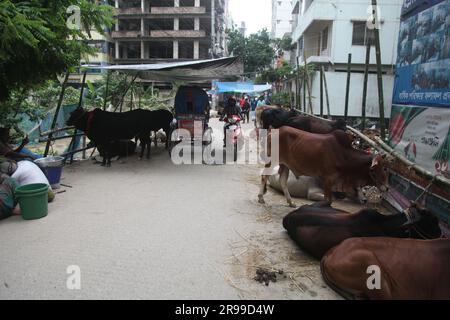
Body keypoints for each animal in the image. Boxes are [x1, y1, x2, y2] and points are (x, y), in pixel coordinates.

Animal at [258, 126, 388, 206]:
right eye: (382, 168)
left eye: (385, 167)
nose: (387, 188)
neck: (345, 156)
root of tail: (273, 131)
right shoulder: (328, 179)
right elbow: (328, 200)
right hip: (272, 161)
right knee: (264, 176)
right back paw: (261, 198)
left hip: (285, 164)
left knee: (283, 181)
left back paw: (291, 203)